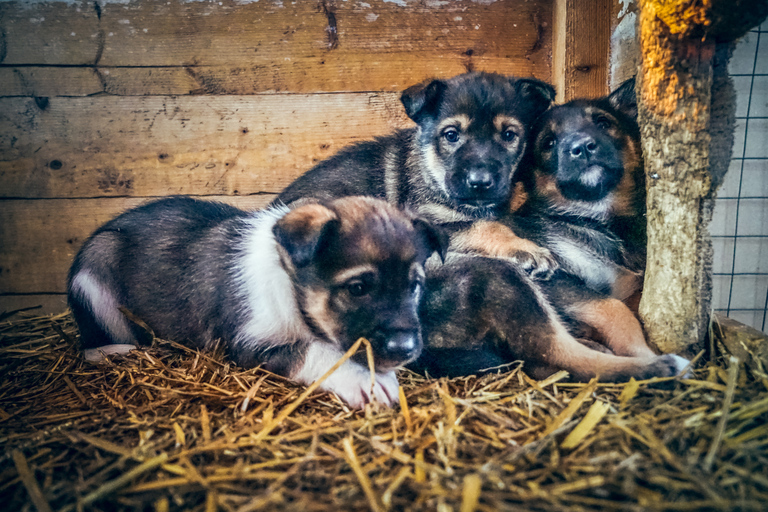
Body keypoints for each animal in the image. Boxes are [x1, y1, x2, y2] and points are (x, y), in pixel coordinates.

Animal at [70, 195, 450, 408]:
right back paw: (119, 351)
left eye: (414, 286)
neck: (289, 288)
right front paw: (364, 380)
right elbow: (315, 351)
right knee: (88, 345)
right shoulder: (248, 346)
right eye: (357, 288)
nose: (405, 349)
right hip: (92, 273)